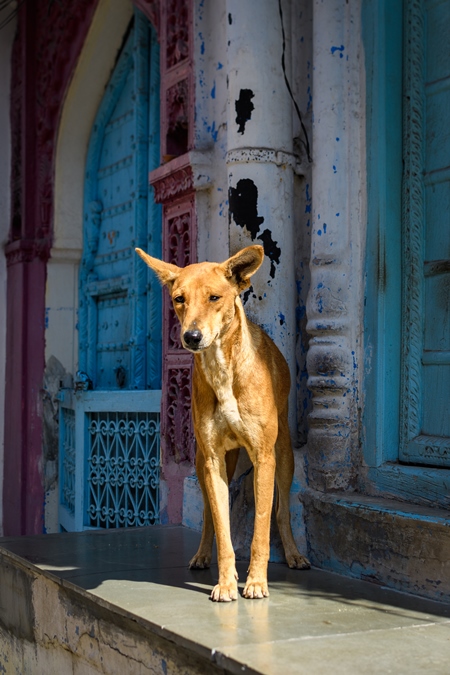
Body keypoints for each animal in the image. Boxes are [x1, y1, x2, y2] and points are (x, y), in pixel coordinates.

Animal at [135, 247, 310, 604]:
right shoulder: (214, 459)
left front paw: (256, 582)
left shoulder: (264, 458)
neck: (222, 369)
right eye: (179, 299)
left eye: (214, 297)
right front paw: (227, 582)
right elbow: (222, 528)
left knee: (282, 511)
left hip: (284, 455)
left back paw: (294, 554)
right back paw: (202, 555)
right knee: (208, 517)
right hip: (204, 463)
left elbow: (261, 528)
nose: (191, 337)